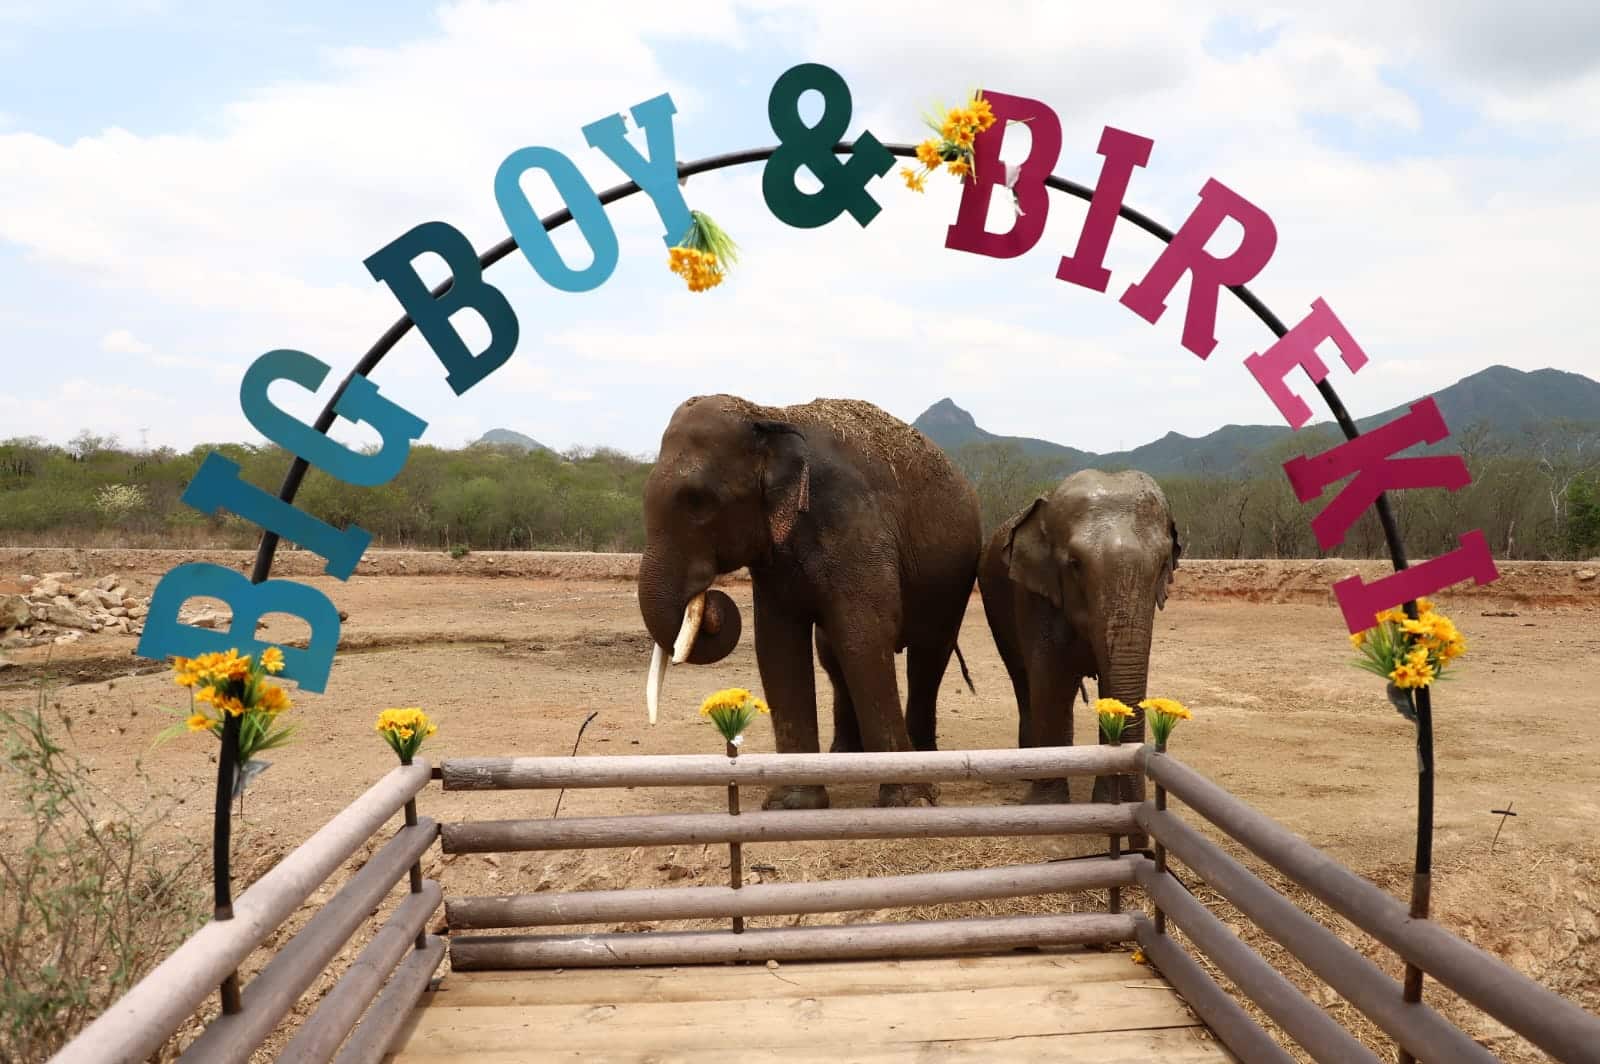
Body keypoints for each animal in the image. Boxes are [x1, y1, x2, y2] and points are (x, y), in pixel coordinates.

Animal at [638, 394, 983, 810]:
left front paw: (909, 801)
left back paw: (925, 764)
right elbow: (778, 645)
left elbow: (864, 637)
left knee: (927, 657)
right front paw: (793, 803)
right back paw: (846, 758)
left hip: (952, 580)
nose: (710, 607)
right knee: (833, 655)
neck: (769, 414)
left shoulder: (855, 524)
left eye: (699, 501)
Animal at [977, 469, 1180, 818]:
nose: (1134, 800)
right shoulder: (1035, 597)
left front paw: (1107, 799)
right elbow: (1051, 683)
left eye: (1161, 565)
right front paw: (1047, 805)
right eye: (1074, 564)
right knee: (1023, 680)